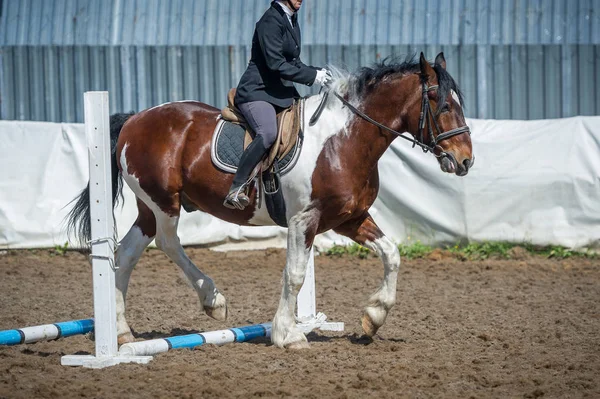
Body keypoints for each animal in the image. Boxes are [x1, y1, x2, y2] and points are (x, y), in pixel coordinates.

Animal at [67, 53, 474, 350]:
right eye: (440, 104)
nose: (466, 160)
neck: (345, 140)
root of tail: (135, 119)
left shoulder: (350, 218)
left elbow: (391, 253)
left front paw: (374, 317)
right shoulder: (303, 220)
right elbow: (294, 274)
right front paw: (287, 334)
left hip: (148, 208)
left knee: (126, 255)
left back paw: (122, 334)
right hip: (164, 201)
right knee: (168, 243)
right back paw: (213, 300)